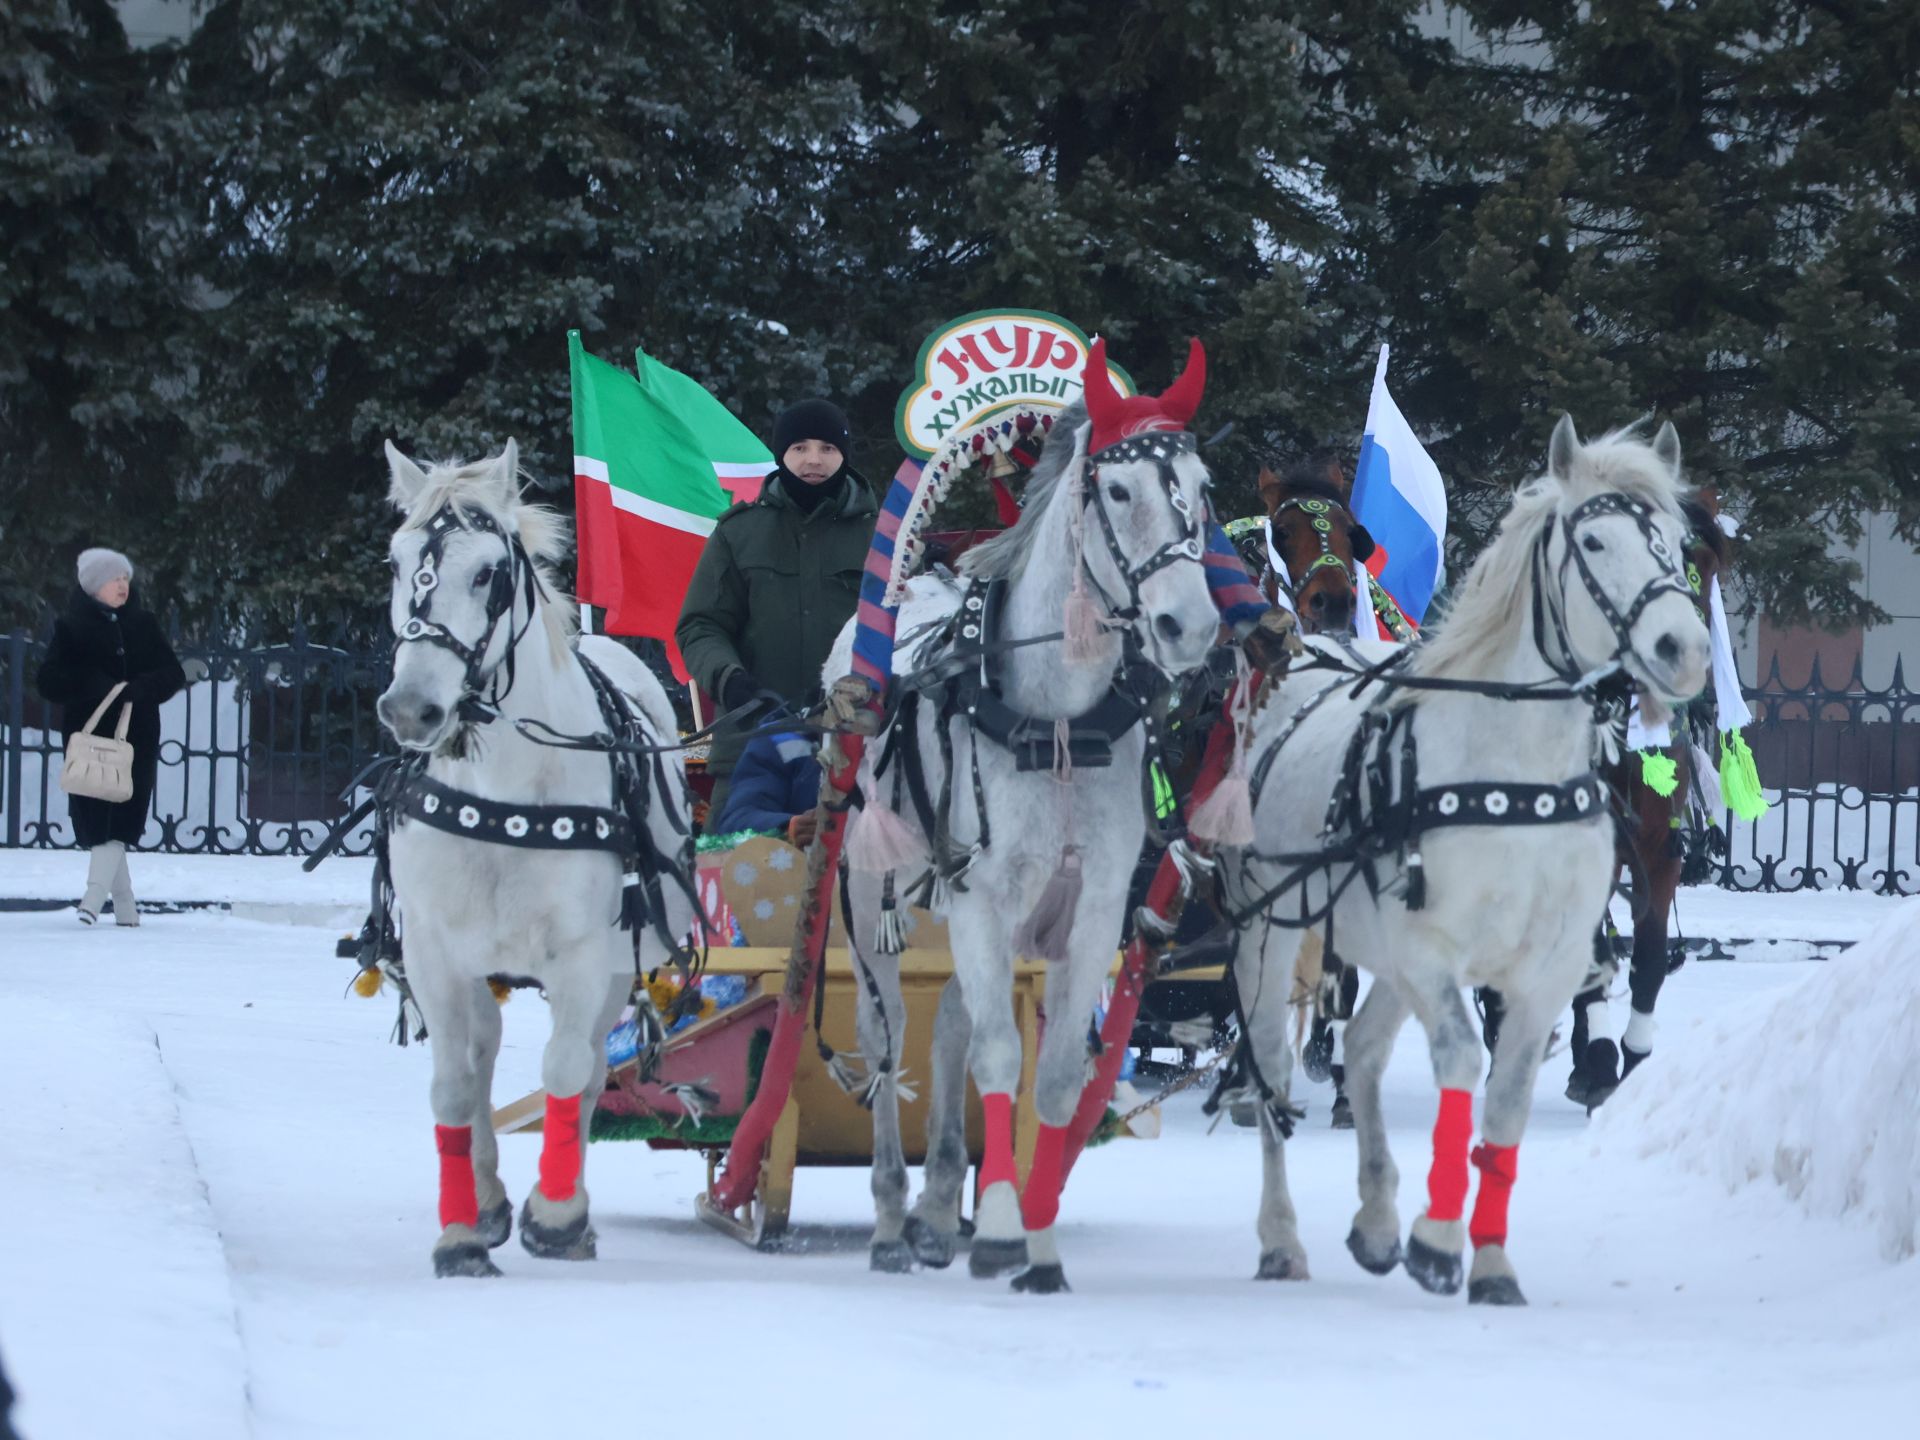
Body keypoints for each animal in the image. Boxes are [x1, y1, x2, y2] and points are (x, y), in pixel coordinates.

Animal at [374, 445, 698, 1282]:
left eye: (489, 572)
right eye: (396, 562)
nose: (412, 709)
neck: (505, 793)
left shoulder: (585, 955)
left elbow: (565, 1069)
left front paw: (557, 1216)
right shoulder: (435, 952)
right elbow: (455, 1085)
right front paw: (461, 1230)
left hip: (618, 961)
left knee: (584, 1067)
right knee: (484, 1050)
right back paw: (488, 1197)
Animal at [825, 378, 1213, 1290]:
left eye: (1202, 486)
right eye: (1118, 490)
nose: (1191, 626)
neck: (1060, 723)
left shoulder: (1095, 912)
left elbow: (1060, 1076)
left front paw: (1038, 1245)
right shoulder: (983, 898)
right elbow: (1002, 1056)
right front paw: (1002, 1230)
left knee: (949, 1028)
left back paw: (937, 1210)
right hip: (874, 900)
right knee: (888, 1039)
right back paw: (890, 1220)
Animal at [1213, 414, 1712, 1305]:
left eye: (1674, 541)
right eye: (1593, 539)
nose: (1682, 647)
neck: (1511, 772)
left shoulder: (1555, 954)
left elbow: (1508, 1091)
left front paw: (1488, 1260)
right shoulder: (1430, 951)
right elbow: (1460, 1058)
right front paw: (1439, 1239)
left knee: (1364, 1049)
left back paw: (1375, 1217)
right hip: (1267, 931)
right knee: (1272, 1057)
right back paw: (1280, 1235)